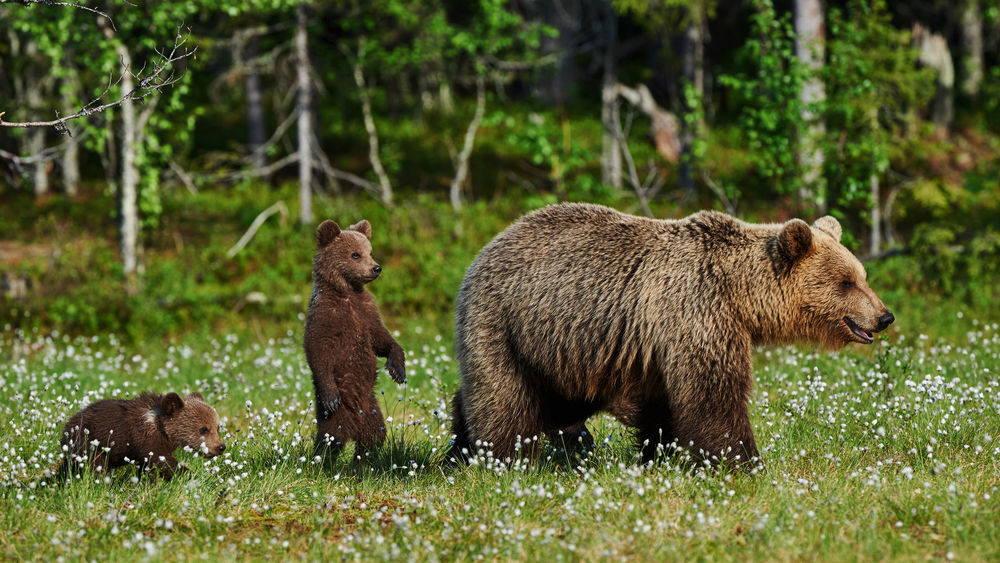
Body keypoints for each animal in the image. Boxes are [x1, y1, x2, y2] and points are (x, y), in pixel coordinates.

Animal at [302, 219, 404, 462]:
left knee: (375, 436)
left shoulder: (366, 312)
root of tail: (354, 424)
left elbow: (382, 339)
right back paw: (323, 461)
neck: (347, 292)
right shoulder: (326, 315)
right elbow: (317, 349)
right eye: (355, 254)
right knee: (331, 438)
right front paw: (330, 395)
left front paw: (397, 369)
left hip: (372, 409)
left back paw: (361, 462)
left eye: (370, 252)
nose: (376, 268)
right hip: (338, 414)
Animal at [450, 203, 896, 468]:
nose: (884, 316)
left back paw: (458, 446)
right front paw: (744, 463)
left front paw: (661, 455)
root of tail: (487, 246)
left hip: (562, 351)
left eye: (863, 275)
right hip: (507, 323)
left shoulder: (657, 342)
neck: (739, 294)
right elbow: (713, 394)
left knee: (553, 402)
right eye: (846, 282)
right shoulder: (696, 310)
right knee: (506, 399)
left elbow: (664, 404)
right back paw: (500, 459)